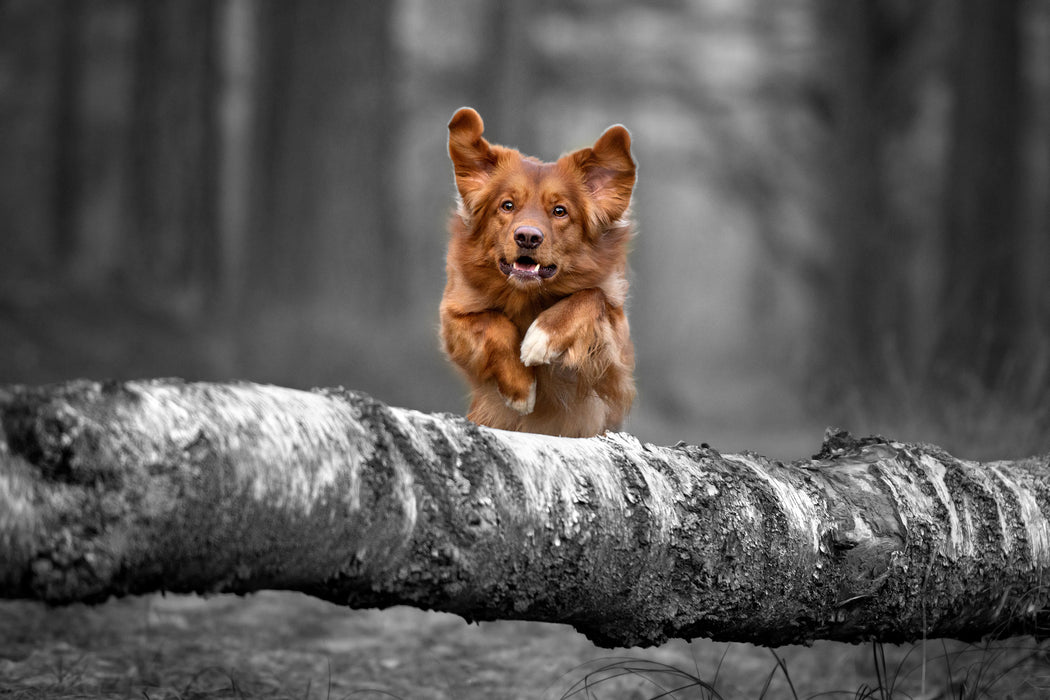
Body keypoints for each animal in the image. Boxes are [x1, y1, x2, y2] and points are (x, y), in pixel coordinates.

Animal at [438, 108, 634, 438]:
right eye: (507, 205)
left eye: (560, 211)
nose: (527, 237)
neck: (528, 295)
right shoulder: (454, 316)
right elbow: (494, 323)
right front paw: (521, 388)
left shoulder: (614, 362)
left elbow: (591, 295)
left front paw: (543, 336)